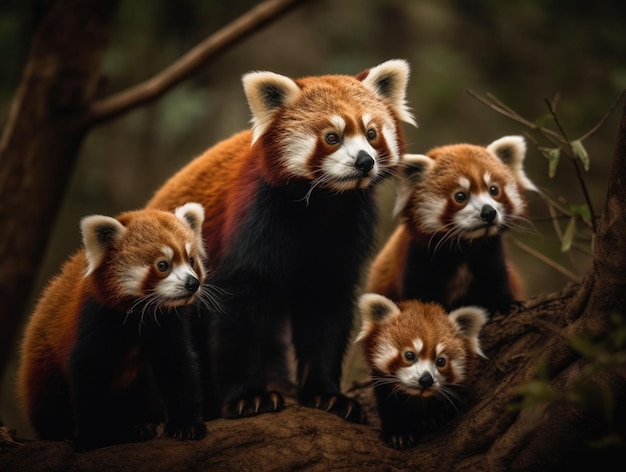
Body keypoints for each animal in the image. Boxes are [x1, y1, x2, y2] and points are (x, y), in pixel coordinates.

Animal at [16, 202, 217, 450]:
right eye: (163, 265)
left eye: (191, 260)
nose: (192, 283)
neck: (140, 316)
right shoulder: (94, 318)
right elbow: (88, 374)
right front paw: (90, 437)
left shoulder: (168, 325)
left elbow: (177, 366)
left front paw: (186, 425)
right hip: (44, 367)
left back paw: (138, 425)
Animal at [147, 60, 414, 424]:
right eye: (332, 137)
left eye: (372, 134)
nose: (365, 161)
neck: (321, 204)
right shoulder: (255, 217)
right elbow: (240, 309)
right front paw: (250, 397)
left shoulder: (345, 229)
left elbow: (324, 308)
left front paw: (327, 394)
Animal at [354, 292, 486, 450]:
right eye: (409, 355)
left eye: (441, 361)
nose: (426, 380)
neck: (417, 398)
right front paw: (398, 433)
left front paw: (434, 417)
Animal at [366, 136, 536, 318]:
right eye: (460, 196)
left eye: (494, 190)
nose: (489, 212)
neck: (465, 248)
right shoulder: (418, 256)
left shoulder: (489, 253)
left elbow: (495, 280)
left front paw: (505, 304)